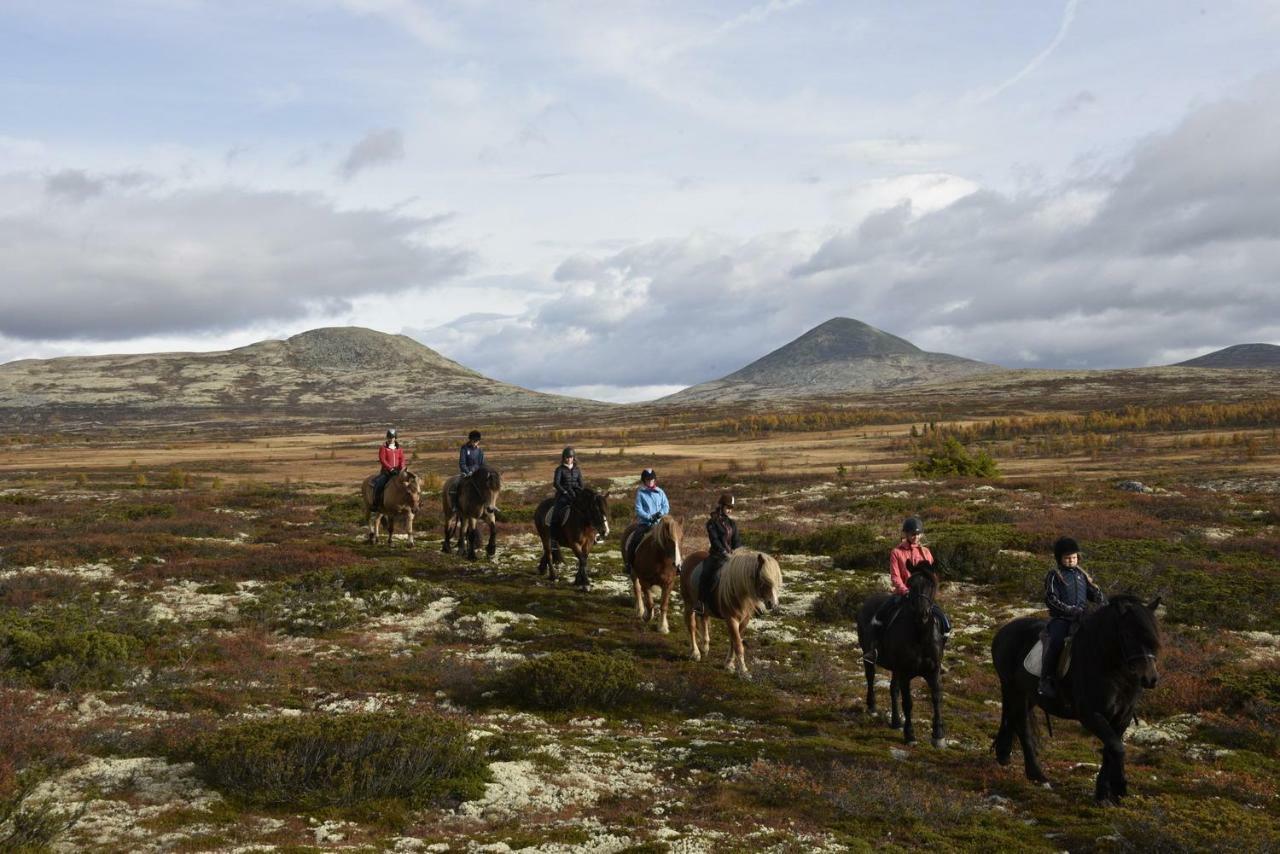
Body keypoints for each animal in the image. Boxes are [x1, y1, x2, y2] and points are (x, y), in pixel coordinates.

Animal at [680, 547, 778, 681]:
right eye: (763, 580)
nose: (773, 604)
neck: (738, 590)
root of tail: (690, 557)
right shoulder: (731, 619)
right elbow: (738, 645)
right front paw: (744, 671)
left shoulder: (744, 620)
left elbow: (734, 642)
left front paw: (729, 664)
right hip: (689, 604)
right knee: (692, 626)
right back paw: (695, 653)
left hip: (704, 607)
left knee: (704, 620)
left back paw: (705, 648)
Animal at [855, 568, 947, 747]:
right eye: (911, 586)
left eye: (931, 585)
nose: (922, 614)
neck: (920, 637)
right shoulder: (905, 674)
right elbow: (908, 702)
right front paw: (910, 735)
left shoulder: (933, 671)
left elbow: (936, 698)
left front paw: (938, 735)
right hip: (869, 656)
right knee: (870, 677)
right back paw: (872, 707)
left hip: (895, 668)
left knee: (893, 689)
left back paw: (896, 721)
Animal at [993, 599, 1167, 804]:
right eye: (1127, 634)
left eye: (1154, 636)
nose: (1150, 678)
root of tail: (1005, 630)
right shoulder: (1090, 715)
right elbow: (1117, 748)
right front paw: (1117, 789)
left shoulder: (1121, 717)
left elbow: (1111, 749)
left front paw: (1106, 793)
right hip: (1014, 689)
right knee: (1021, 725)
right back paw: (1038, 776)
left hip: (1028, 695)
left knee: (1012, 719)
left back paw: (1004, 754)